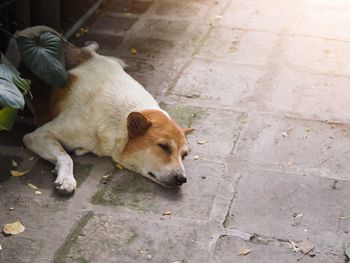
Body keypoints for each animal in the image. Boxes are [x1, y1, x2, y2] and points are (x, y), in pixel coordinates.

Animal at [7, 26, 191, 195]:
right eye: (164, 146)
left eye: (184, 155)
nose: (182, 179)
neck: (118, 121)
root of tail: (27, 30)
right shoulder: (37, 135)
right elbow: (66, 157)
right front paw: (66, 179)